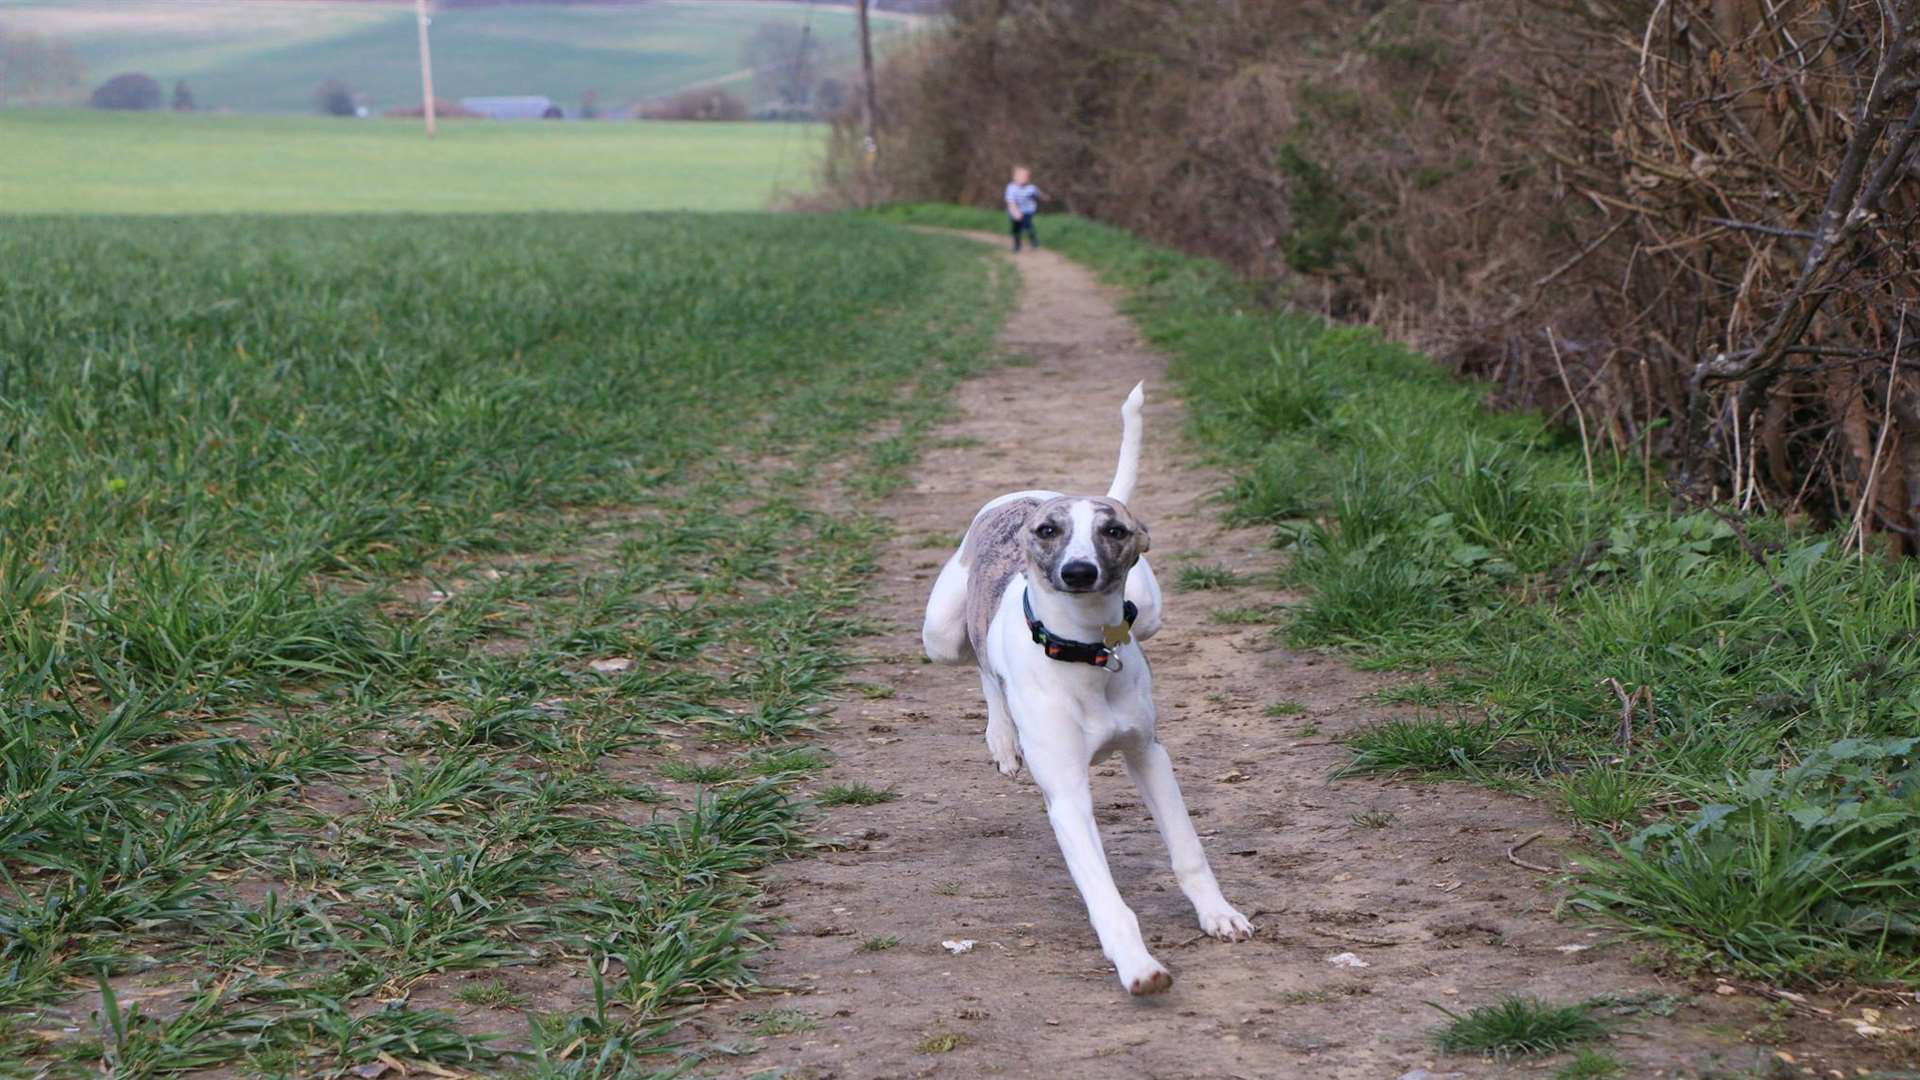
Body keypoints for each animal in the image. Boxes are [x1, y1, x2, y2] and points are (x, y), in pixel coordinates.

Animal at [917, 380, 1251, 991]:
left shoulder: (1150, 755)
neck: (1085, 651)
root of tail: (1028, 492)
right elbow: (1104, 893)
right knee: (980, 662)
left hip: (1150, 612)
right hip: (941, 634)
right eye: (1049, 532)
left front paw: (1219, 913)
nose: (1078, 572)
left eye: (1113, 531)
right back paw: (1002, 739)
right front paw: (1138, 964)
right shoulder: (1067, 794)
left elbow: (1188, 849)